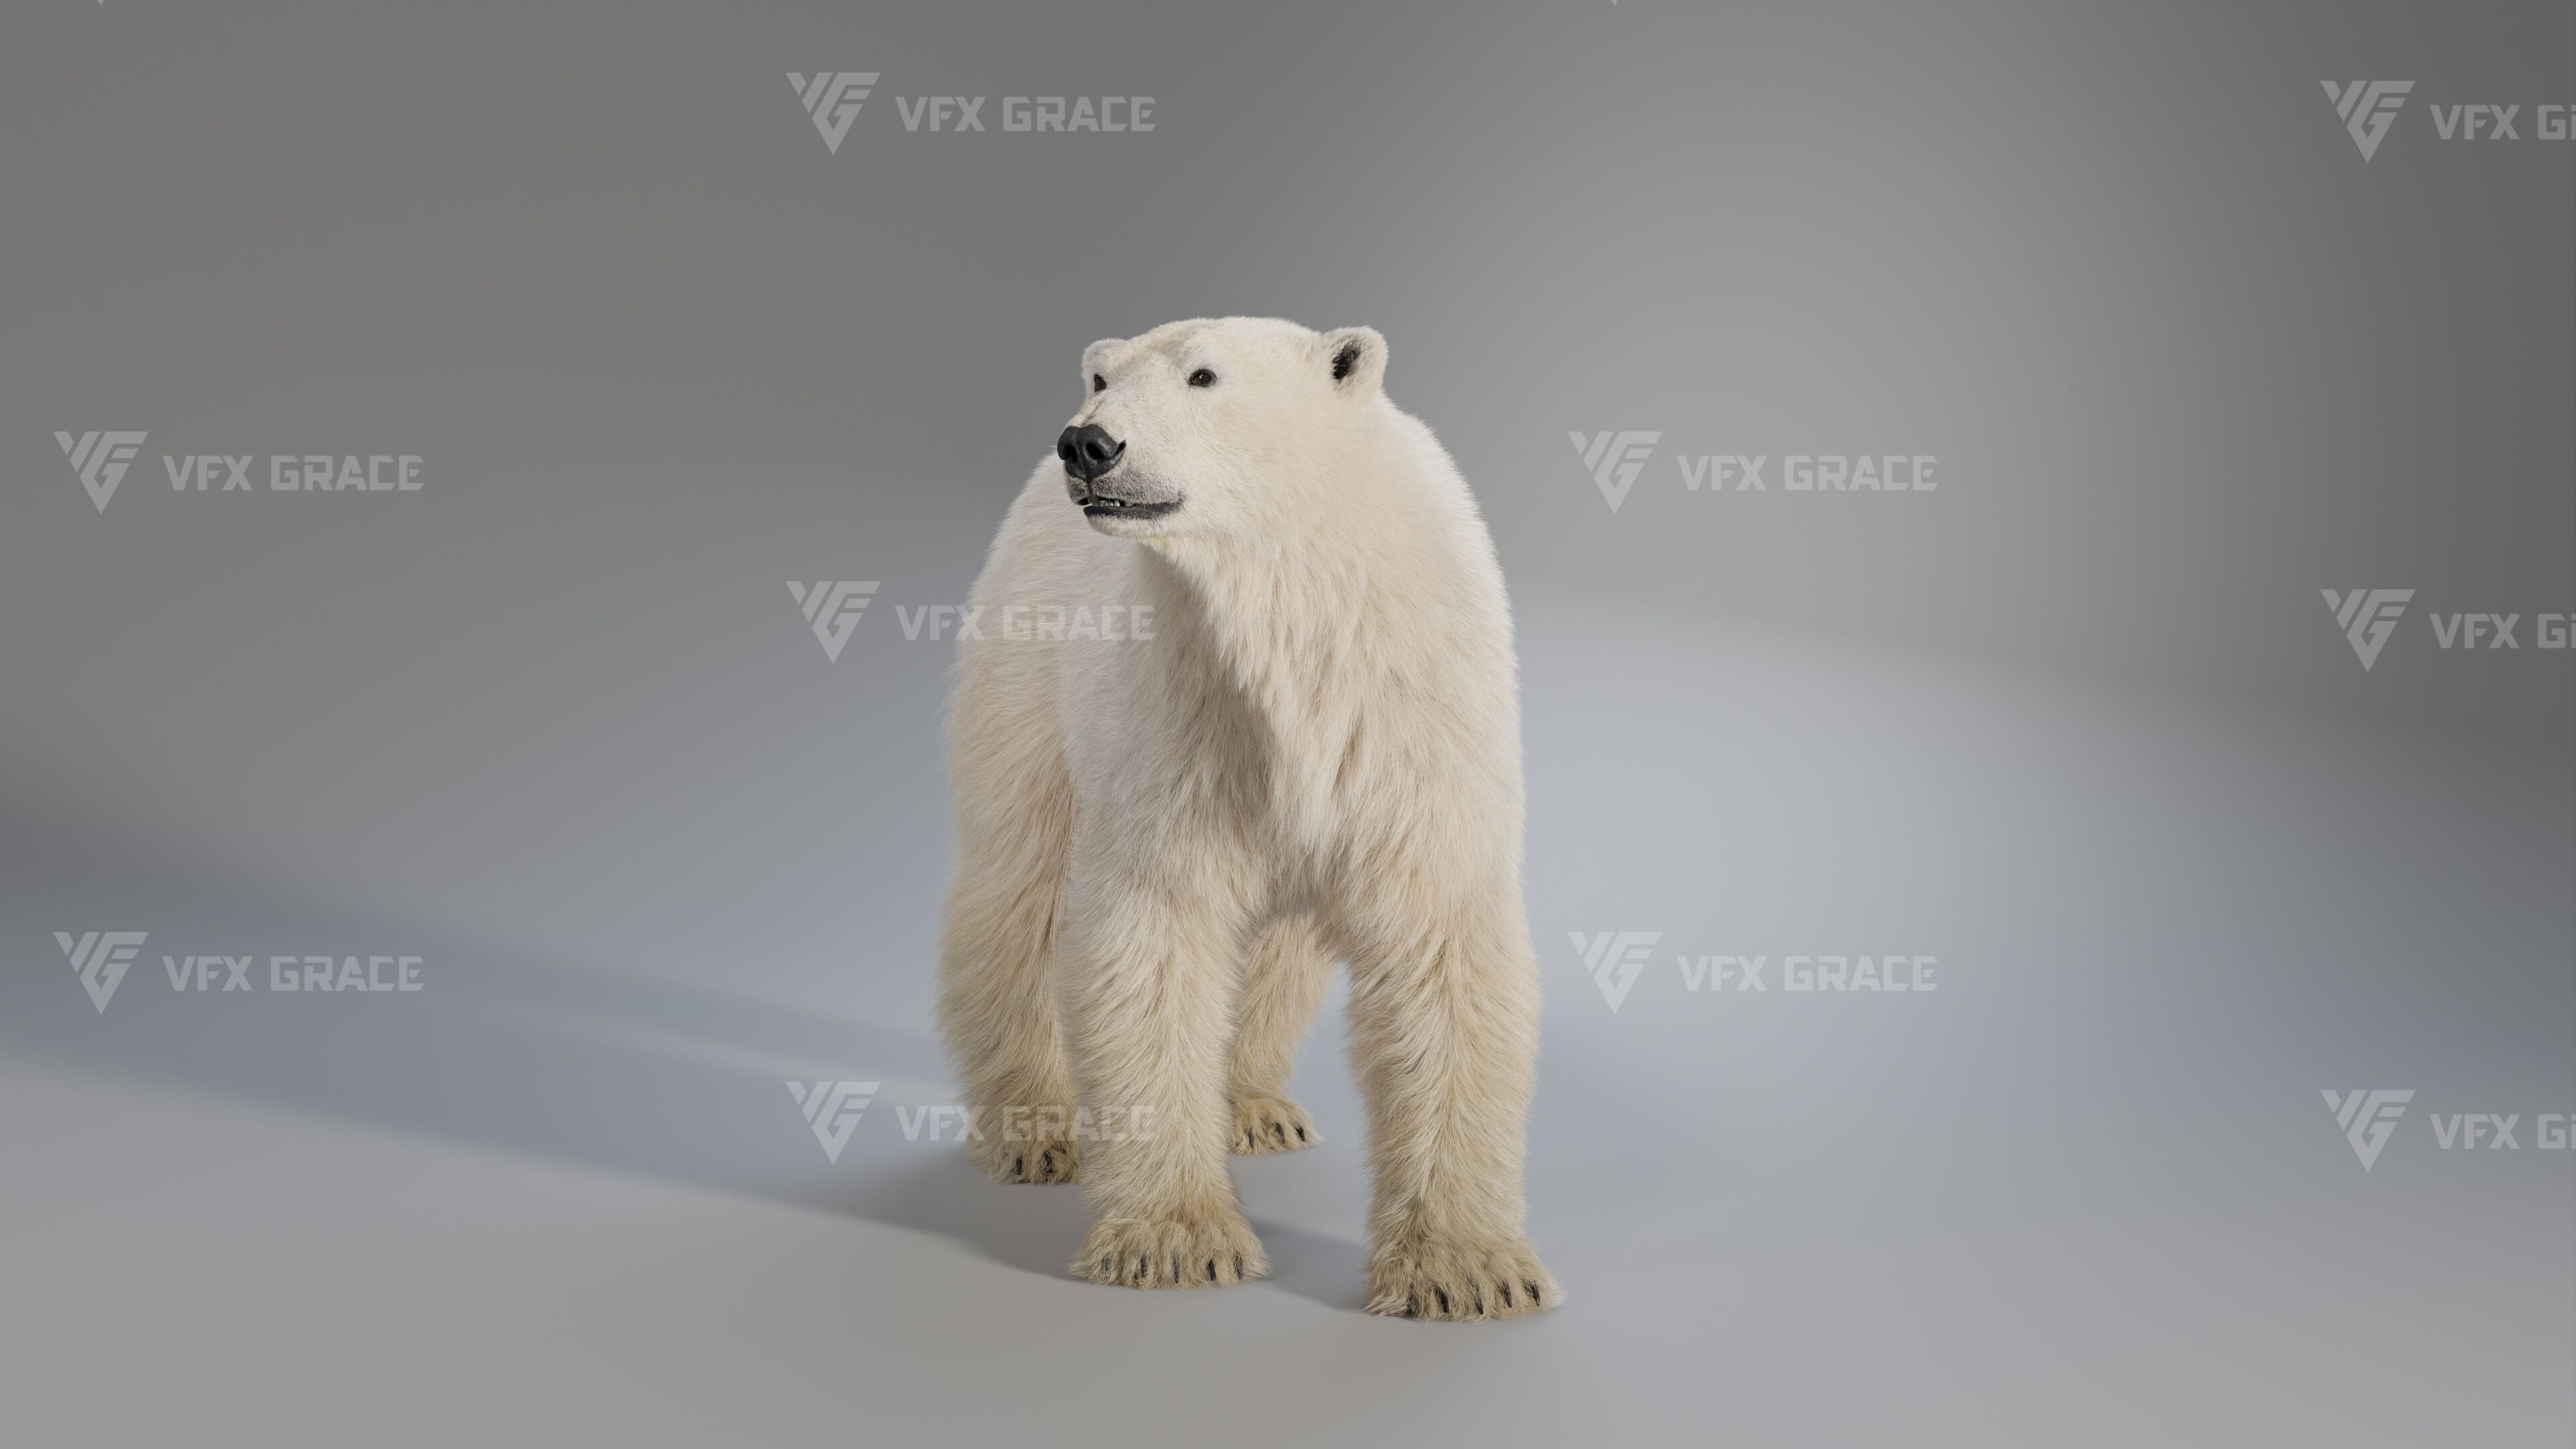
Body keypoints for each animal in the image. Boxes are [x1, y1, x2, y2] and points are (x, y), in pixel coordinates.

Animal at [934, 317, 1559, 1320]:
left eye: (1203, 376)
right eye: (1105, 378)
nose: (1087, 443)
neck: (1296, 603)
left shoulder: (1409, 717)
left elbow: (1435, 946)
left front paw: (1469, 1270)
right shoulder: (1181, 696)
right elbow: (1155, 937)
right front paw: (1177, 1242)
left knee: (1277, 944)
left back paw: (1253, 1106)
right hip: (1025, 659)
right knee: (1020, 882)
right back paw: (1036, 1128)